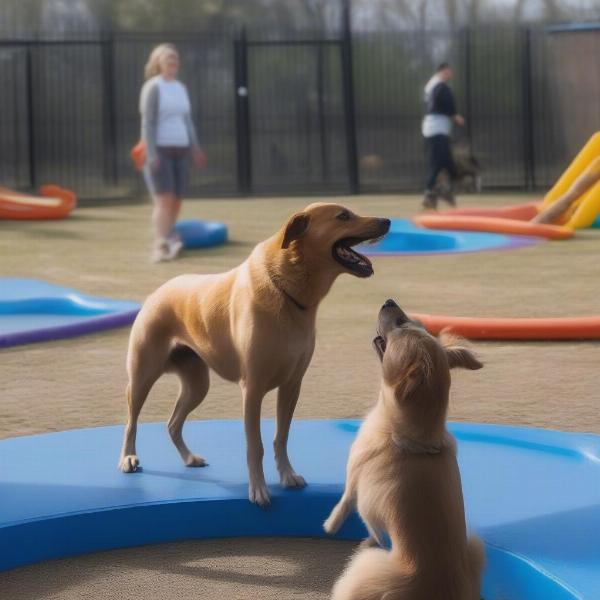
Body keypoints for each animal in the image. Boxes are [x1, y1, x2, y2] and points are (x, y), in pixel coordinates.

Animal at [119, 203, 392, 506]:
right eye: (343, 216)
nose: (387, 221)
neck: (286, 290)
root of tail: (159, 291)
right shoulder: (252, 389)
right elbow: (255, 445)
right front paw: (259, 489)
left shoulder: (291, 385)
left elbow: (281, 437)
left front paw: (287, 475)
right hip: (142, 376)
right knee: (131, 422)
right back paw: (128, 458)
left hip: (197, 385)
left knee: (173, 423)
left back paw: (189, 458)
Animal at [324, 300, 482, 600]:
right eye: (413, 322)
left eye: (400, 323)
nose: (389, 301)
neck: (415, 437)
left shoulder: (356, 475)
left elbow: (346, 501)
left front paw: (331, 525)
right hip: (476, 548)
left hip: (365, 570)